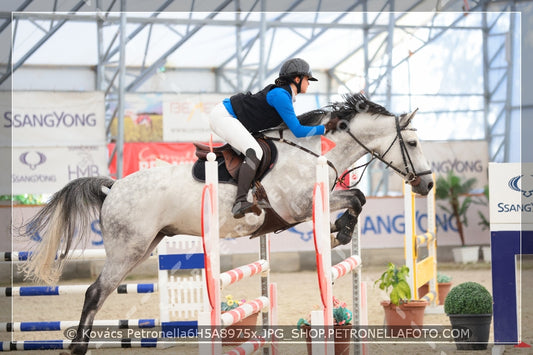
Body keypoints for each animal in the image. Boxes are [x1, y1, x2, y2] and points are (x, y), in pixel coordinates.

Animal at [19, 93, 432, 354]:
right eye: (412, 144)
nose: (427, 185)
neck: (315, 151)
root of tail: (113, 186)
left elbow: (358, 198)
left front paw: (340, 229)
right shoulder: (298, 207)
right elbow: (357, 198)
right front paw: (342, 230)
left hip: (146, 244)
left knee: (101, 292)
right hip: (128, 247)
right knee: (94, 292)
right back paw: (77, 348)